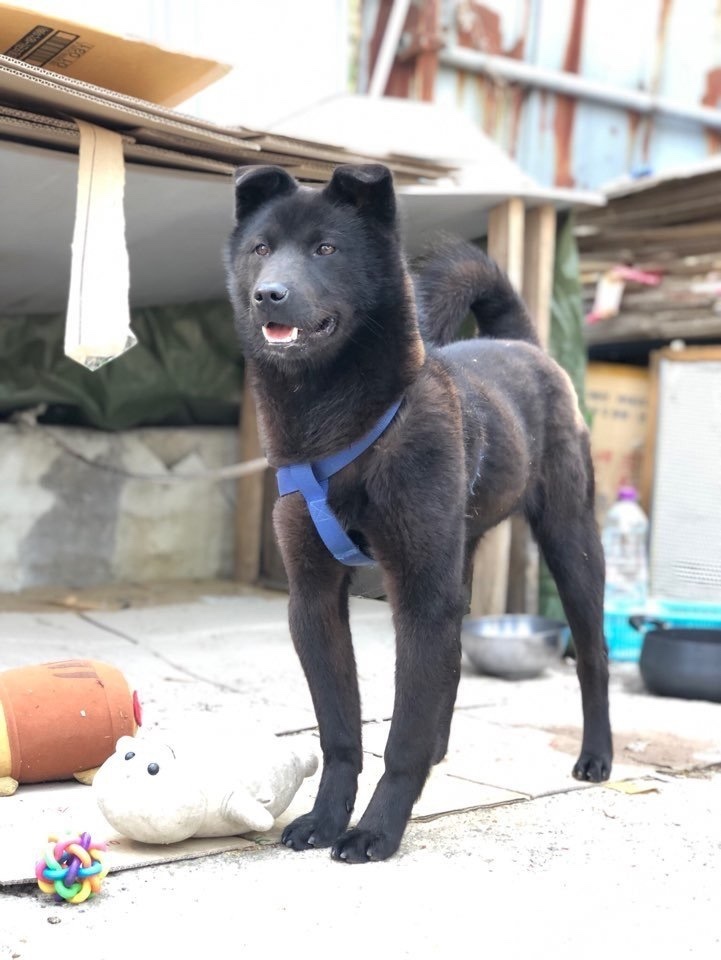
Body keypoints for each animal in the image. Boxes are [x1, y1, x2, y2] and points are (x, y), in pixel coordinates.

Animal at [222, 163, 612, 864]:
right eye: (261, 248)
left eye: (326, 249)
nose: (269, 294)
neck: (335, 425)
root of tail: (522, 344)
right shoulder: (314, 599)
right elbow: (341, 732)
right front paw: (325, 818)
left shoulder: (419, 593)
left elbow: (399, 737)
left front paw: (377, 829)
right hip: (459, 560)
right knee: (448, 670)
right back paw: (440, 750)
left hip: (571, 544)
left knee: (591, 655)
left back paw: (597, 757)